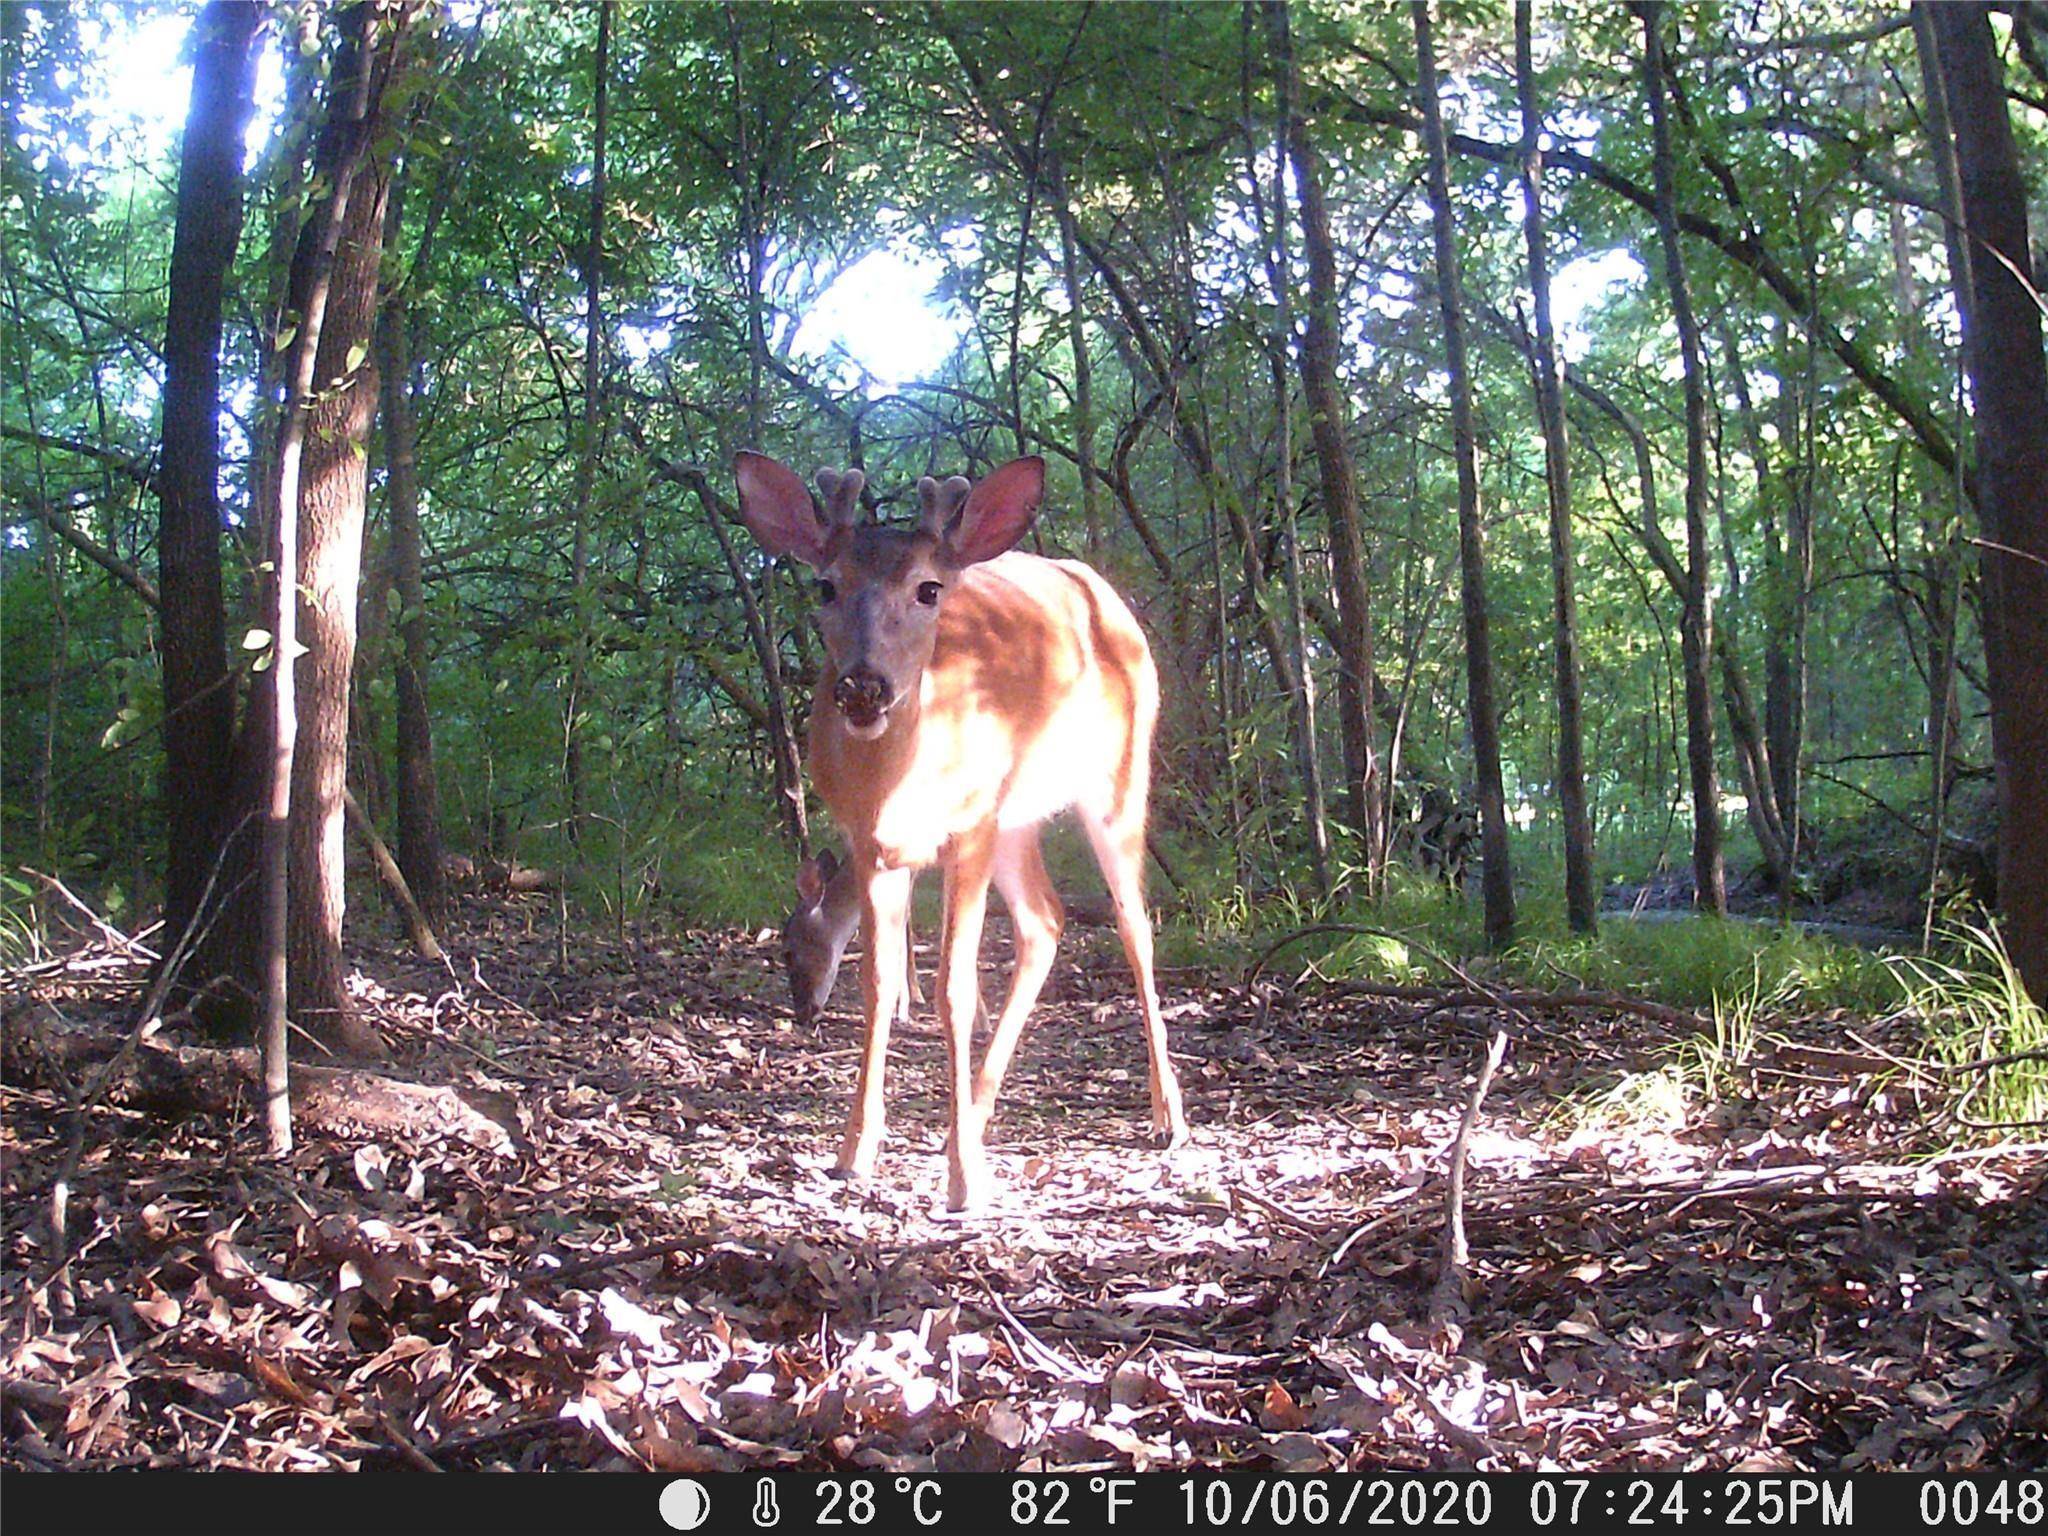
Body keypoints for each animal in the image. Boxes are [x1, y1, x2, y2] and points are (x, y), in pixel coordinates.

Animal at [737, 450, 1196, 1212]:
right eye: (826, 584)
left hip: (1117, 778)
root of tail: (1104, 593)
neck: (897, 785)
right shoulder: (874, 845)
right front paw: (854, 1153)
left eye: (929, 589)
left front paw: (961, 1182)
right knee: (1046, 919)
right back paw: (976, 1117)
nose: (863, 686)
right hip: (1016, 819)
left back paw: (1169, 1118)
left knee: (1135, 925)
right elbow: (878, 982)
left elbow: (953, 987)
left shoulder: (969, 825)